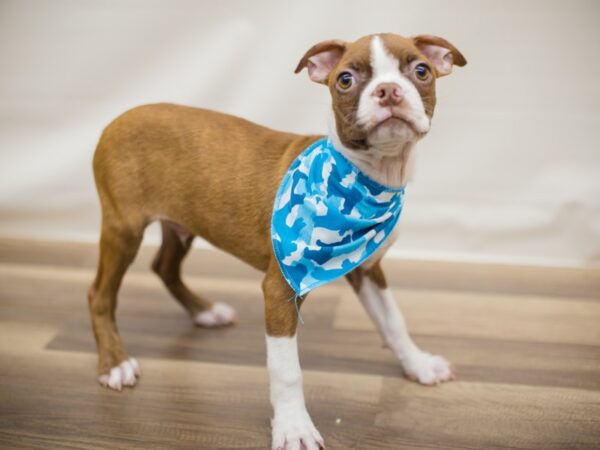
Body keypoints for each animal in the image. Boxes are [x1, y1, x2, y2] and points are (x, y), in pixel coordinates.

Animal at [88, 32, 464, 450]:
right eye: (345, 80)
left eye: (421, 71)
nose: (388, 91)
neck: (366, 177)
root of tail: (119, 117)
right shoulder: (280, 288)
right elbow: (286, 370)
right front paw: (294, 427)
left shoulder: (367, 268)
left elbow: (394, 322)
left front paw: (419, 364)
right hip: (123, 228)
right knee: (100, 294)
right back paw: (116, 363)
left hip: (181, 224)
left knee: (164, 266)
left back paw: (205, 312)